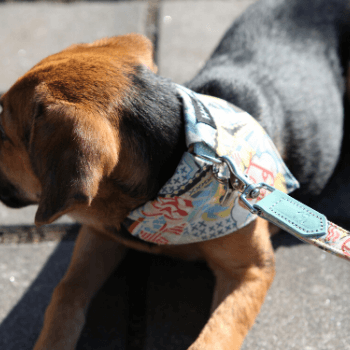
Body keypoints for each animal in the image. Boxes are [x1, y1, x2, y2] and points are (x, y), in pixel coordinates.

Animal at [0, 0, 350, 348]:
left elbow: (215, 337)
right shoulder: (100, 233)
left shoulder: (252, 270)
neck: (184, 164)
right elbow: (65, 293)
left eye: (5, 136)